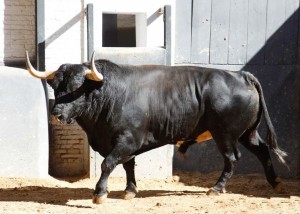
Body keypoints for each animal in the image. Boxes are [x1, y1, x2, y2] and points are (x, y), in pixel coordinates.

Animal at [25, 53, 286, 204]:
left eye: (76, 88)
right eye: (56, 87)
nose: (56, 114)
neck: (109, 94)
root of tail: (241, 75)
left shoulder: (126, 140)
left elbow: (108, 164)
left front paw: (100, 193)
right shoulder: (122, 144)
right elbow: (128, 165)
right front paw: (130, 191)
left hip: (226, 134)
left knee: (231, 159)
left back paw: (216, 188)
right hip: (247, 133)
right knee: (262, 151)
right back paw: (276, 184)